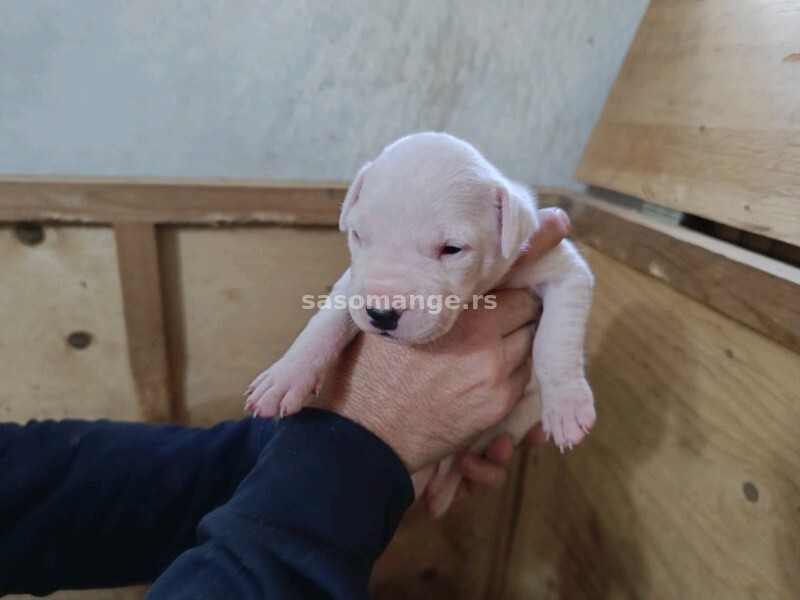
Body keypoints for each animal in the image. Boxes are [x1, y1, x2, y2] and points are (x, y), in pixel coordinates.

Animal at [244, 134, 592, 516]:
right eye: (358, 235)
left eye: (452, 249)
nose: (381, 313)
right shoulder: (354, 282)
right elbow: (326, 320)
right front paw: (287, 375)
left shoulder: (564, 272)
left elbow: (555, 342)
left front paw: (566, 403)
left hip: (515, 420)